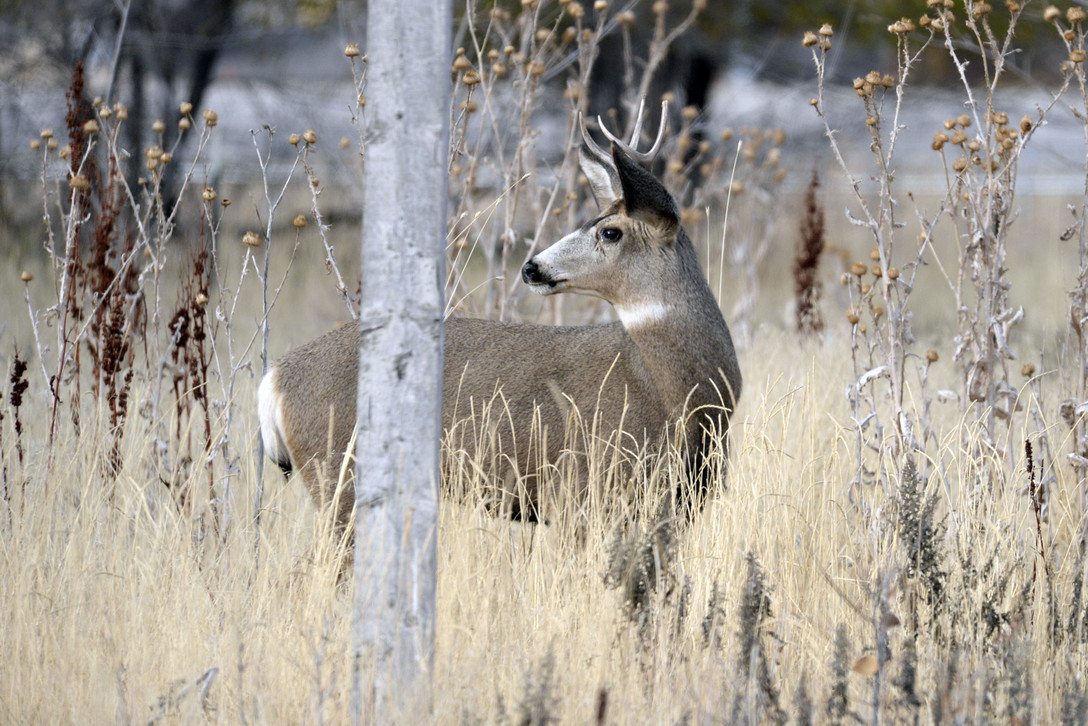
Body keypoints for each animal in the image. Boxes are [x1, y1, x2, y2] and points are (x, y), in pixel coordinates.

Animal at [258, 103, 744, 539]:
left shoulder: (680, 500)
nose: (532, 267)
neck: (682, 394)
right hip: (338, 475)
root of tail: (274, 378)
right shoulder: (580, 489)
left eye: (610, 231)